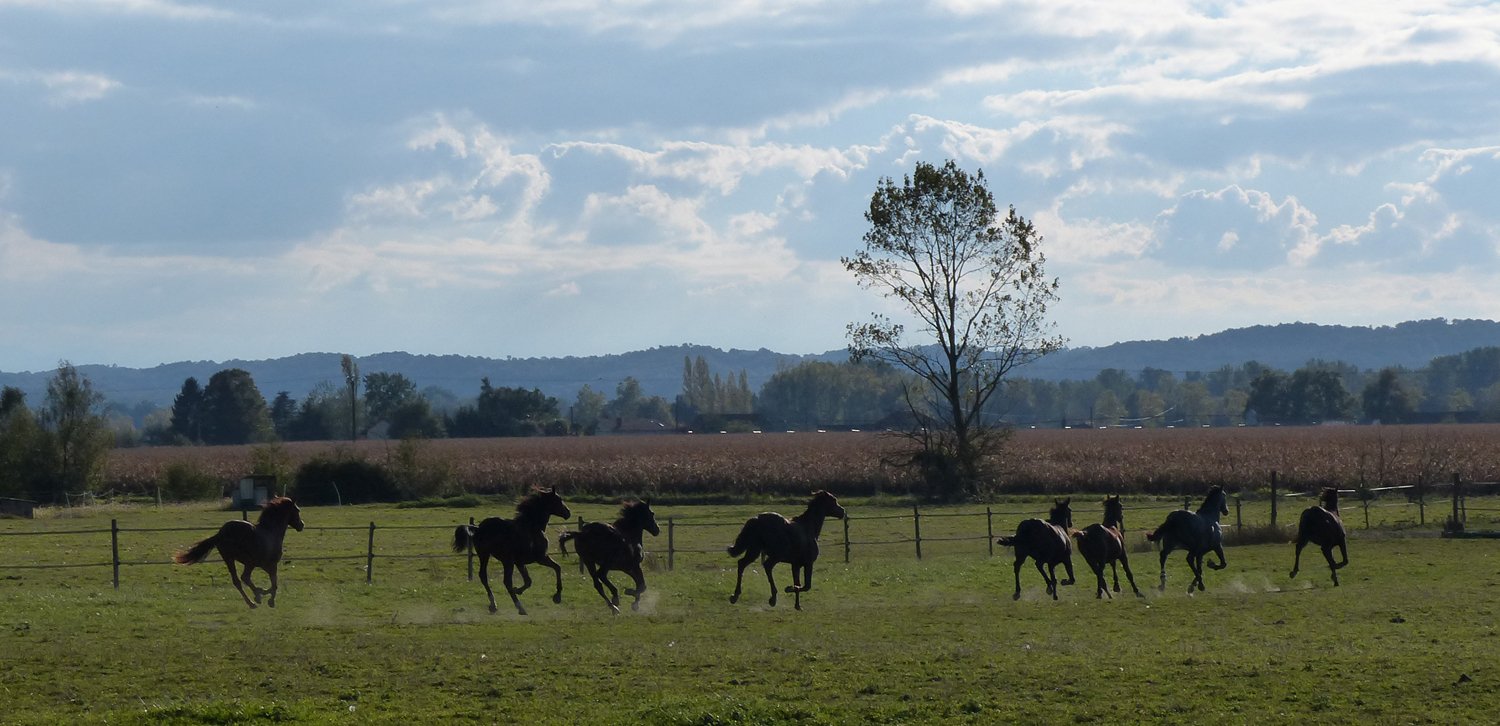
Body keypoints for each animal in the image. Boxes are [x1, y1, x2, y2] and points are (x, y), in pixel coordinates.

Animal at [173, 496, 305, 609]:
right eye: (297, 510)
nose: (301, 525)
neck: (271, 531)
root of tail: (221, 533)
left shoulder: (264, 565)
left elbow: (272, 584)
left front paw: (261, 594)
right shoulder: (271, 564)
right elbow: (274, 584)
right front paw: (269, 600)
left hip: (229, 559)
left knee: (237, 580)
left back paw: (252, 602)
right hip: (249, 561)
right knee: (244, 577)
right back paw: (256, 598)